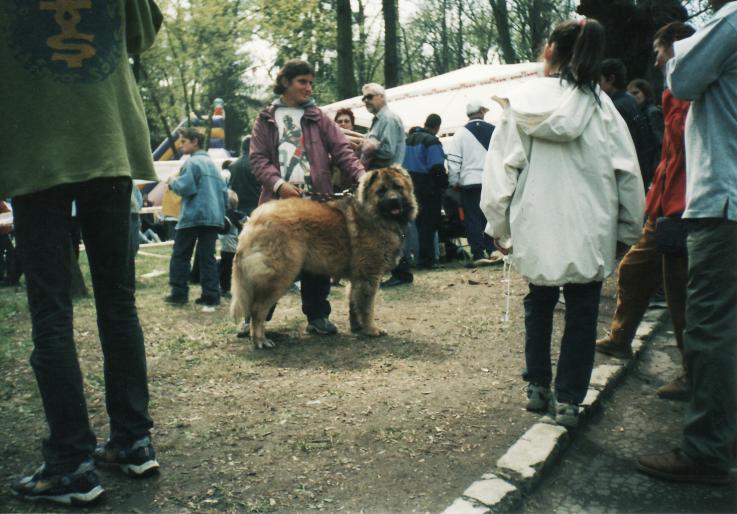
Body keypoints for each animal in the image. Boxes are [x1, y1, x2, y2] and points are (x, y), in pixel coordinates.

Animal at [230, 165, 416, 348]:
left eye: (398, 187)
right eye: (381, 191)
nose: (394, 200)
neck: (374, 216)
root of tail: (253, 220)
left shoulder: (357, 278)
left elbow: (354, 303)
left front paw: (357, 327)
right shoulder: (369, 276)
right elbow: (367, 307)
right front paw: (371, 329)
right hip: (281, 275)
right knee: (257, 309)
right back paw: (260, 340)